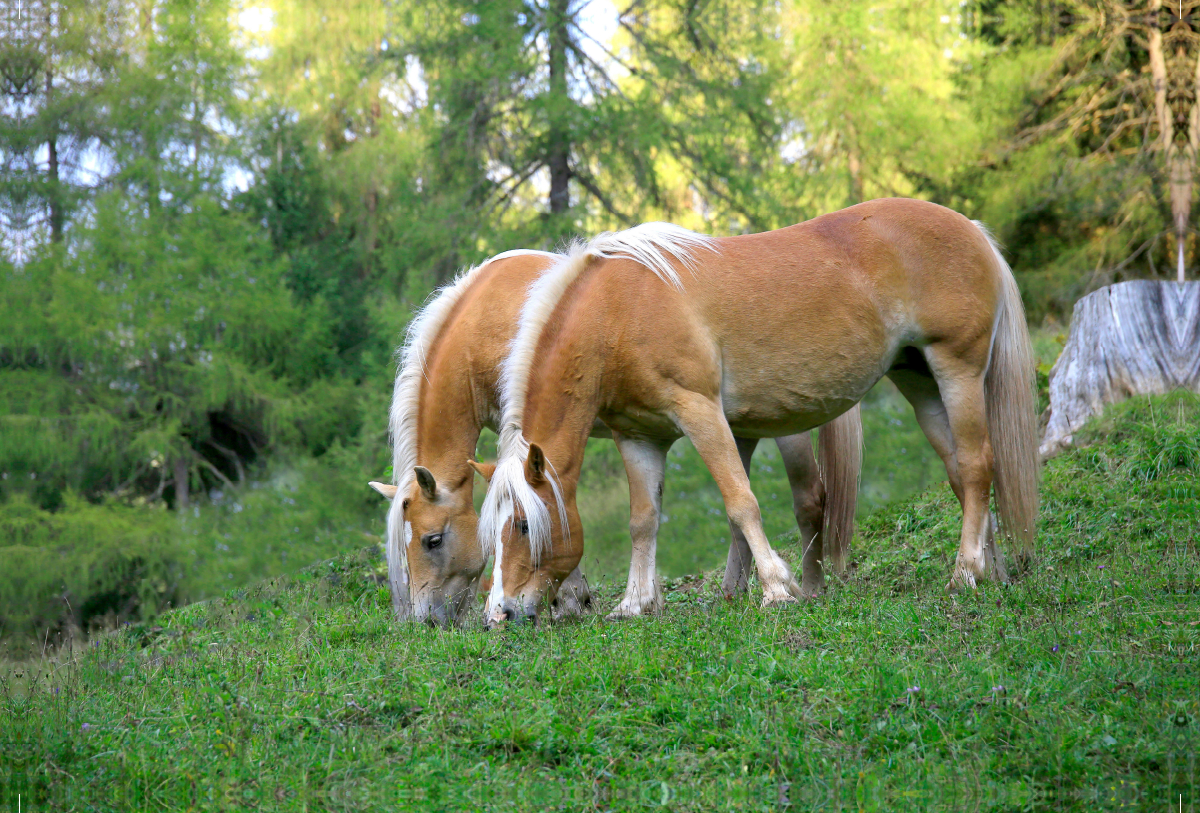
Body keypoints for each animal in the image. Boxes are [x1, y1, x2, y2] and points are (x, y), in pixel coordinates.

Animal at [367, 251, 864, 628]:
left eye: (432, 540)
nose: (424, 620)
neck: (484, 321)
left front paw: (571, 600)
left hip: (782, 428)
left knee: (808, 498)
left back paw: (805, 586)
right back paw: (736, 590)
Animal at [482, 199, 1036, 628]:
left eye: (524, 526)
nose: (502, 613)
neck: (617, 311)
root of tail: (971, 228)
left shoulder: (701, 413)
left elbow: (740, 502)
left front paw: (776, 588)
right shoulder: (638, 437)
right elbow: (643, 520)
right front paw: (635, 604)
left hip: (957, 371)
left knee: (977, 465)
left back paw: (966, 571)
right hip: (920, 382)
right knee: (960, 473)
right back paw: (992, 569)